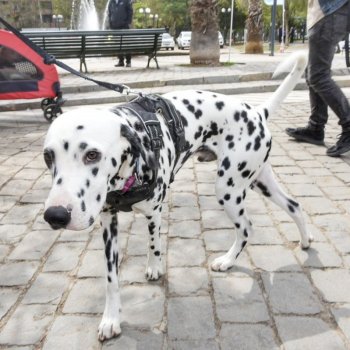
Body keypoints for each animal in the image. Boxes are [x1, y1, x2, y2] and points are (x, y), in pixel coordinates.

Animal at [42, 50, 314, 340]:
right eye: (48, 156)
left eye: (92, 154)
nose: (55, 215)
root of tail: (257, 112)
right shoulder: (108, 223)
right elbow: (111, 278)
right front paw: (111, 318)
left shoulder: (154, 212)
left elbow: (154, 244)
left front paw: (154, 267)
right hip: (260, 181)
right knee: (295, 205)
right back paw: (305, 240)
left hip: (228, 189)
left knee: (247, 227)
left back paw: (228, 261)